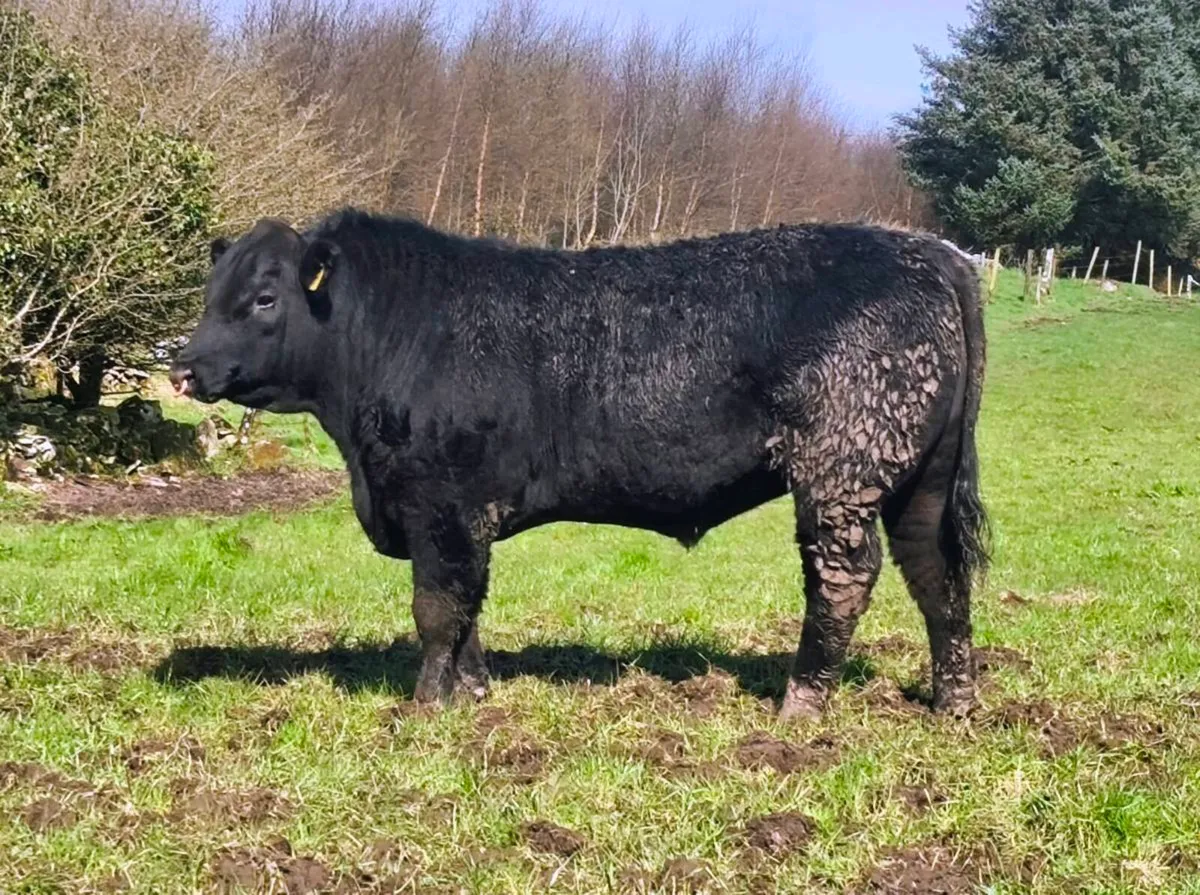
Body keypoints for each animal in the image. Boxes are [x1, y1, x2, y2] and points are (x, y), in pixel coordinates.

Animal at [170, 211, 988, 719]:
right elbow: (469, 608)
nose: (182, 367)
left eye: (264, 297)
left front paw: (426, 704)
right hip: (920, 481)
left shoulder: (440, 505)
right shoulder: (464, 515)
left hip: (840, 474)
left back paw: (802, 703)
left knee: (845, 579)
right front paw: (474, 694)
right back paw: (954, 701)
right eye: (212, 293)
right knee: (937, 577)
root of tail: (930, 252)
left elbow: (437, 609)